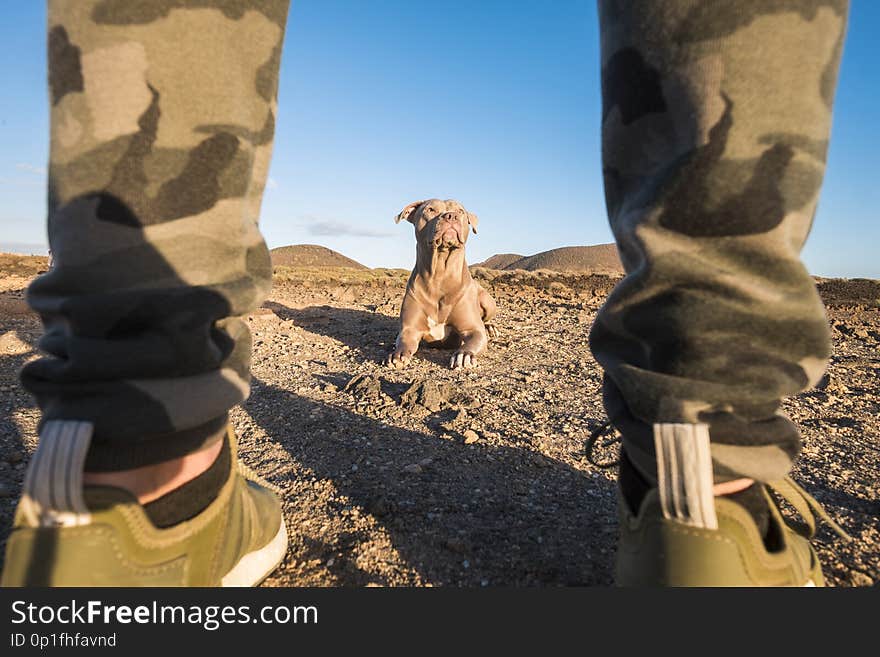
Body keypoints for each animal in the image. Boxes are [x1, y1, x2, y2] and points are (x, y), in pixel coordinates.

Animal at [384, 197, 496, 368]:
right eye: (430, 210)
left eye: (460, 211)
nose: (451, 216)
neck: (440, 275)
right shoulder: (410, 329)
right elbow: (403, 342)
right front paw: (397, 355)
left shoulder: (473, 330)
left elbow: (473, 340)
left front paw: (464, 355)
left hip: (488, 301)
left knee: (486, 319)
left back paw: (490, 328)